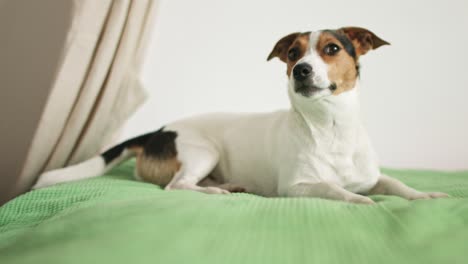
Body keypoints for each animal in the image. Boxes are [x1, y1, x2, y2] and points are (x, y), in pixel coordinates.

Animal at [33, 27, 450, 204]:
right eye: (293, 54)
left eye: (332, 48)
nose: (301, 70)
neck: (330, 126)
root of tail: (159, 130)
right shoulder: (297, 187)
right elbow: (334, 189)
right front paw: (359, 202)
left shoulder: (372, 178)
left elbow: (396, 185)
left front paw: (424, 194)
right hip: (203, 151)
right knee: (178, 186)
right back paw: (217, 191)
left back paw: (229, 186)